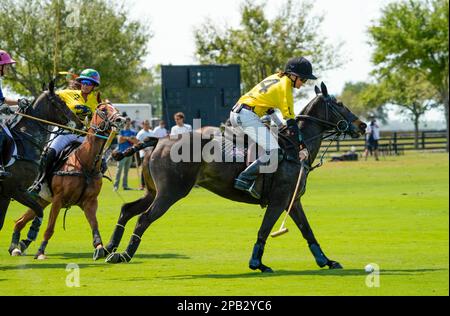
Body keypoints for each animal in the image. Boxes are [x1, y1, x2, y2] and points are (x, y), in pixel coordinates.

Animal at [9, 102, 125, 260]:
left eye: (116, 108)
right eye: (103, 110)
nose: (121, 120)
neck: (85, 164)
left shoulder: (90, 202)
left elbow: (95, 225)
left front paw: (99, 248)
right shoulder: (58, 200)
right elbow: (50, 228)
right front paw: (40, 252)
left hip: (42, 200)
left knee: (20, 221)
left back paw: (17, 246)